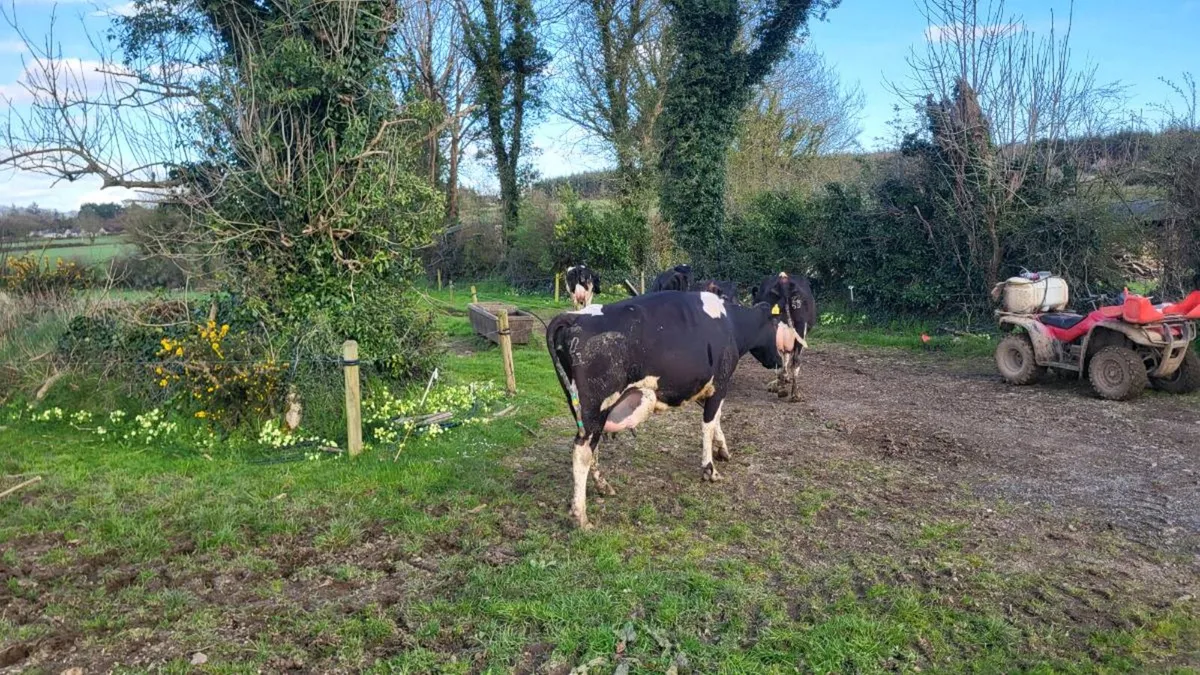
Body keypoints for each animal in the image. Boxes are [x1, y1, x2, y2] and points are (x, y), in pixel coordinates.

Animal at [546, 291, 783, 529]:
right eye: (775, 325)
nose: (780, 361)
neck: (730, 322)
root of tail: (574, 316)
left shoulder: (703, 389)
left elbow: (717, 420)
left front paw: (723, 449)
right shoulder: (720, 385)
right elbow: (708, 424)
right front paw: (710, 469)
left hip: (580, 407)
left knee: (591, 448)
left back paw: (603, 486)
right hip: (595, 406)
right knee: (582, 452)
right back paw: (581, 516)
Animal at [753, 272, 817, 402]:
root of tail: (784, 281)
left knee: (779, 356)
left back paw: (780, 388)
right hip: (800, 327)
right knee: (796, 359)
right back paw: (795, 395)